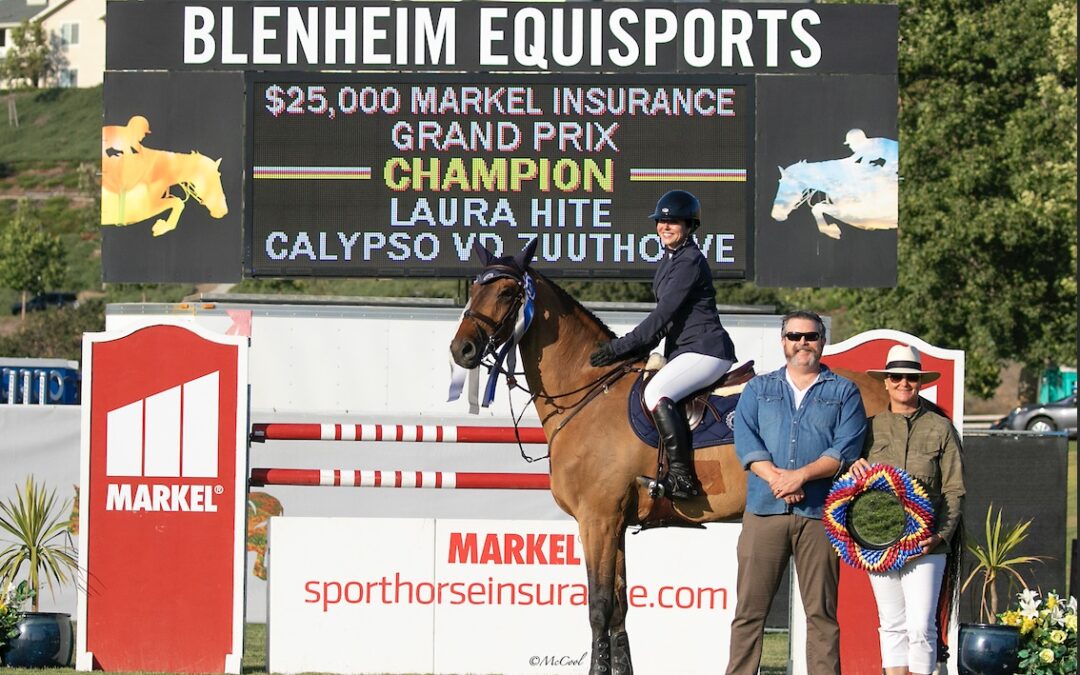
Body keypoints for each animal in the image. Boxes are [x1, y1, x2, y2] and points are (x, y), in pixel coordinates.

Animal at [447, 240, 885, 673]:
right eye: (474, 289)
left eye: (507, 293)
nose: (461, 349)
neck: (590, 394)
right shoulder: (615, 524)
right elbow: (620, 607)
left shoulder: (597, 520)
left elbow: (599, 606)